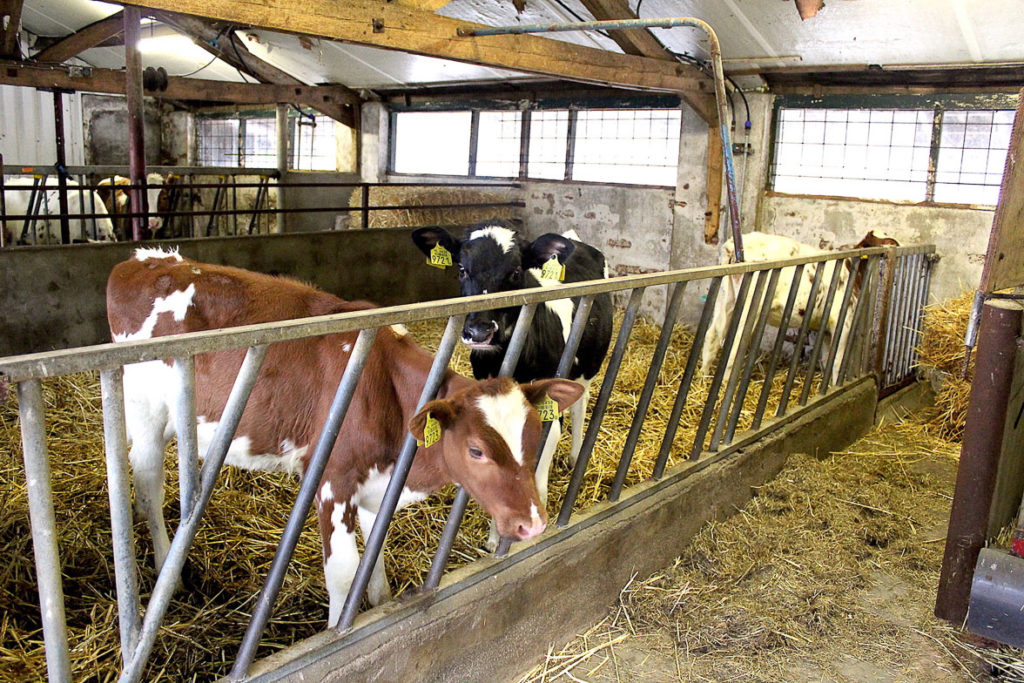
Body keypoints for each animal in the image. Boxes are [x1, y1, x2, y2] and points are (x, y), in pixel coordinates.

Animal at [106, 247, 583, 626]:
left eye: (533, 438)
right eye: (476, 450)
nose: (533, 522)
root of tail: (144, 259)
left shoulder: (381, 482)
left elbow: (375, 553)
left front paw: (378, 601)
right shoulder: (333, 482)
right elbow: (343, 573)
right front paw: (339, 627)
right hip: (144, 410)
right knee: (148, 483)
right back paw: (168, 570)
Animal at [412, 221, 613, 547]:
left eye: (516, 272)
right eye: (462, 269)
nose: (479, 331)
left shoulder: (547, 410)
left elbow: (537, 479)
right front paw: (496, 538)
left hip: (589, 366)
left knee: (580, 405)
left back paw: (574, 457)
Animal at [700, 231, 899, 383]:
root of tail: (734, 245)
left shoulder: (825, 328)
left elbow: (826, 359)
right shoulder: (843, 322)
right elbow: (837, 360)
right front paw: (836, 386)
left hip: (725, 299)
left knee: (711, 336)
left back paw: (703, 378)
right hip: (749, 307)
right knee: (734, 346)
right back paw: (725, 385)